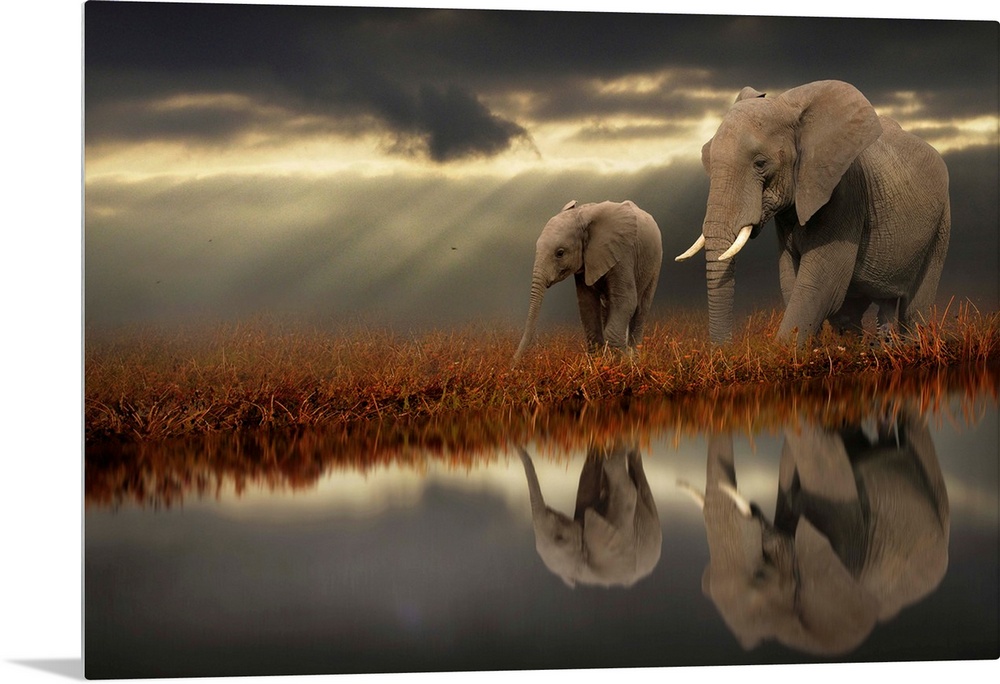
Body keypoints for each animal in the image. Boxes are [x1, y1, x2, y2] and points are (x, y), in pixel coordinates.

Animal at [512, 200, 660, 366]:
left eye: (560, 253)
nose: (513, 364)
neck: (583, 216)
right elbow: (587, 304)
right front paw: (597, 363)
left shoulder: (623, 254)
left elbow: (626, 300)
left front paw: (619, 363)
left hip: (654, 263)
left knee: (641, 307)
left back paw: (634, 359)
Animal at [676, 80, 948, 344]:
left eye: (760, 164)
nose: (725, 350)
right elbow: (791, 281)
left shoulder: (844, 193)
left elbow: (820, 286)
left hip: (941, 224)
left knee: (914, 309)